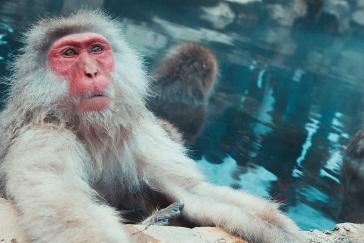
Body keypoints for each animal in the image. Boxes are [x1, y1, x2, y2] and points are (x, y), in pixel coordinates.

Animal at [0, 10, 302, 242]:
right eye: (69, 53)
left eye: (96, 49)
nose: (92, 72)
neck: (91, 130)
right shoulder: (44, 136)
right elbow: (70, 214)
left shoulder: (138, 132)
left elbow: (192, 191)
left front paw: (286, 233)